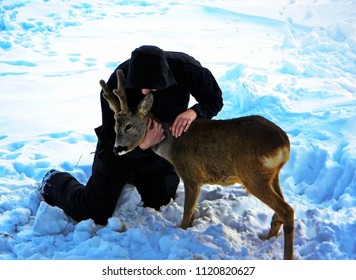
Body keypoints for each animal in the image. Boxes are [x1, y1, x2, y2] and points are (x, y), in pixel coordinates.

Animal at [98, 69, 294, 260]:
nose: (117, 149)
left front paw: (181, 230)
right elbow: (191, 211)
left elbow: (187, 211)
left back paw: (287, 256)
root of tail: (284, 143)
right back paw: (268, 239)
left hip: (252, 175)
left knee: (287, 210)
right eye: (115, 127)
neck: (172, 146)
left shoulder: (191, 175)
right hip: (271, 175)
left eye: (129, 126)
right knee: (280, 211)